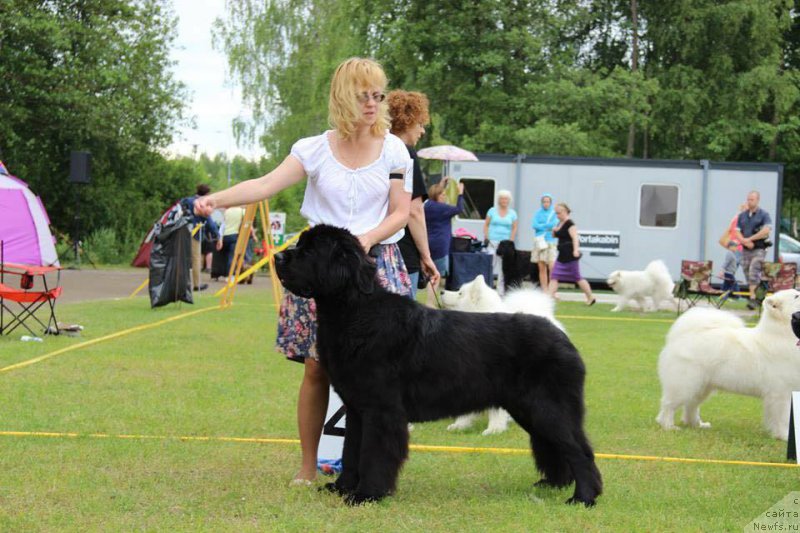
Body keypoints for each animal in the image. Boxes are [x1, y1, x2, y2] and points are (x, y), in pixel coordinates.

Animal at [660, 288, 800, 438]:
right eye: (796, 296)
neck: (783, 334)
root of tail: (682, 336)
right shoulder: (782, 392)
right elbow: (784, 418)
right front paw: (784, 436)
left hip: (702, 386)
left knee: (691, 406)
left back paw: (696, 425)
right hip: (685, 384)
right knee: (669, 405)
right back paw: (668, 426)